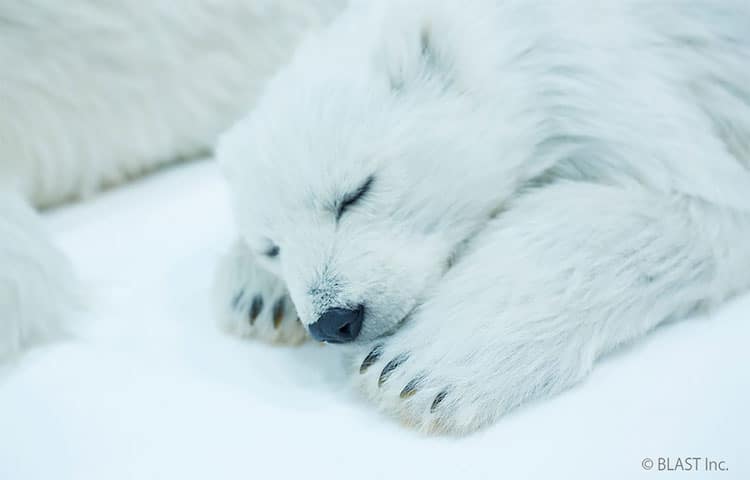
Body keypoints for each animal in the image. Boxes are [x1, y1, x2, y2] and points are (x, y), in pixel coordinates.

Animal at [214, 0, 750, 434]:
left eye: (355, 192)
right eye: (271, 247)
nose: (334, 320)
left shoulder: (604, 87)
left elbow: (694, 207)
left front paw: (412, 368)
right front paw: (256, 298)